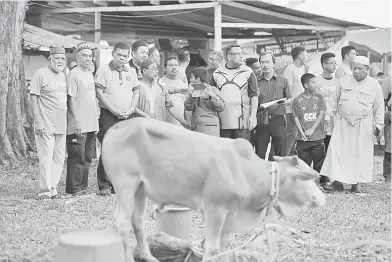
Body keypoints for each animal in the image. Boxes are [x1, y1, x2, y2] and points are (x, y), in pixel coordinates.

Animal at [101, 117, 324, 260]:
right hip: (125, 183)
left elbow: (224, 248)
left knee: (136, 219)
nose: (322, 197)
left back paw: (147, 256)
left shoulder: (230, 214)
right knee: (122, 220)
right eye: (307, 179)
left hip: (140, 189)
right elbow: (212, 248)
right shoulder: (215, 210)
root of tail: (115, 128)